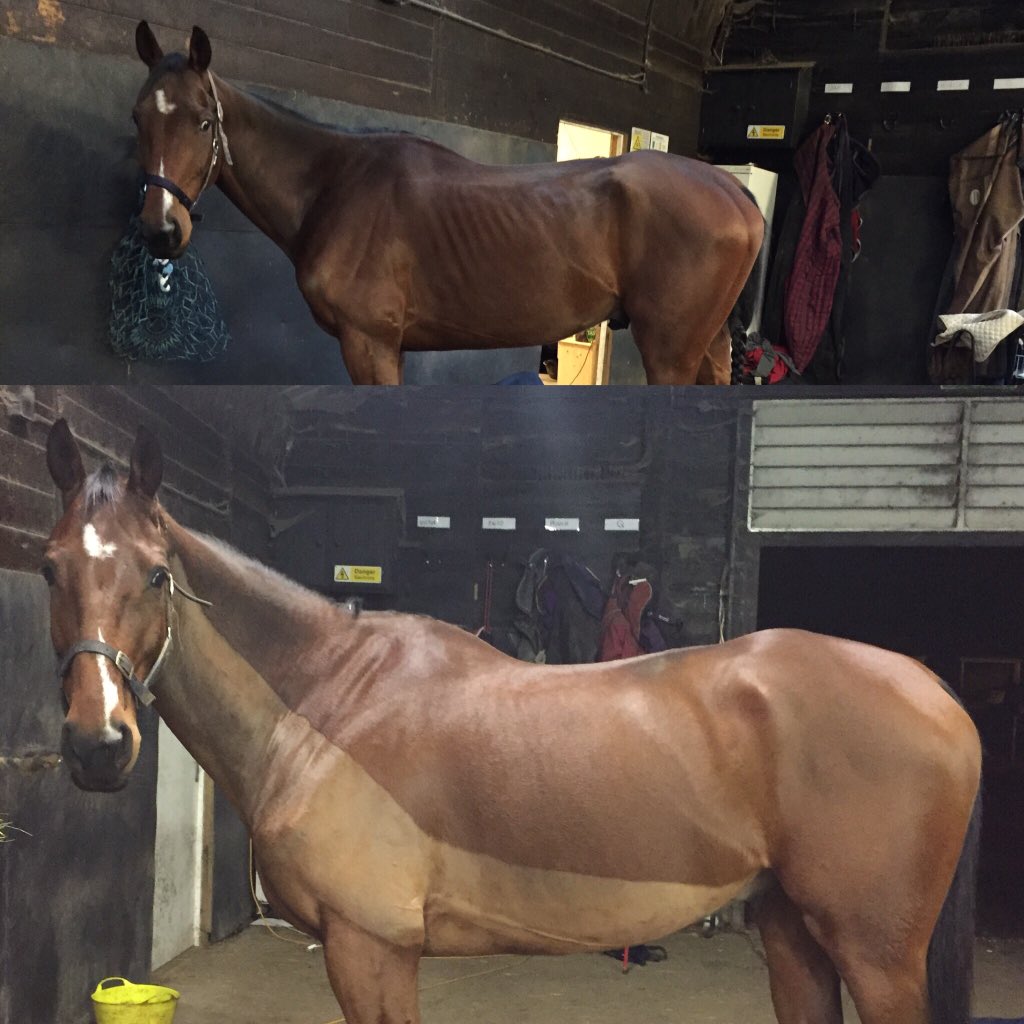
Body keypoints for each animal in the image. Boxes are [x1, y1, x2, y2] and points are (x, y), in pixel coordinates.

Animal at [43, 418, 981, 1024]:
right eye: (50, 568)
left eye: (157, 574)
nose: (99, 744)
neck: (327, 700)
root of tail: (934, 690)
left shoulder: (370, 948)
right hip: (793, 936)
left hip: (875, 954)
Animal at [129, 22, 763, 385]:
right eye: (138, 118)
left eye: (204, 121)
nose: (162, 231)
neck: (335, 186)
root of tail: (732, 188)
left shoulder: (369, 345)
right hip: (704, 348)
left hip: (670, 351)